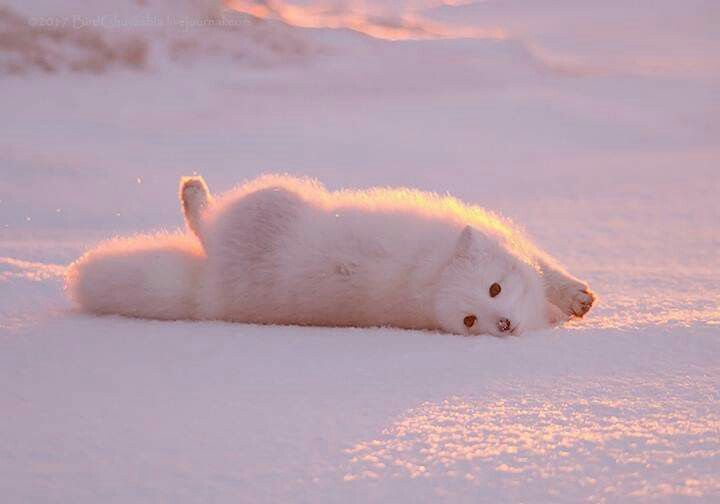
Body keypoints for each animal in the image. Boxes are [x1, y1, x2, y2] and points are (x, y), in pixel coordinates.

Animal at [67, 175, 596, 336]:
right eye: (470, 319)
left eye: (494, 289)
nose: (503, 325)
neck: (429, 275)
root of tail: (205, 295)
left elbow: (548, 272)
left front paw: (576, 299)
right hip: (275, 196)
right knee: (202, 220)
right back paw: (192, 190)